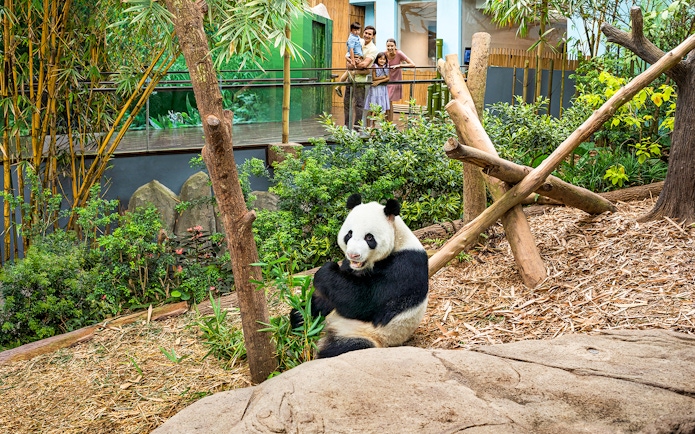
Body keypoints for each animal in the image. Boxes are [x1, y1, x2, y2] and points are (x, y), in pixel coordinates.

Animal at [293, 193, 429, 358]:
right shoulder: (350, 266)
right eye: (349, 234)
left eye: (369, 238)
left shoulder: (405, 266)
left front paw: (325, 271)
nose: (353, 255)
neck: (399, 239)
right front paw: (301, 314)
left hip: (367, 334)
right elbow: (332, 295)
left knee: (344, 347)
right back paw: (300, 319)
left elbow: (364, 300)